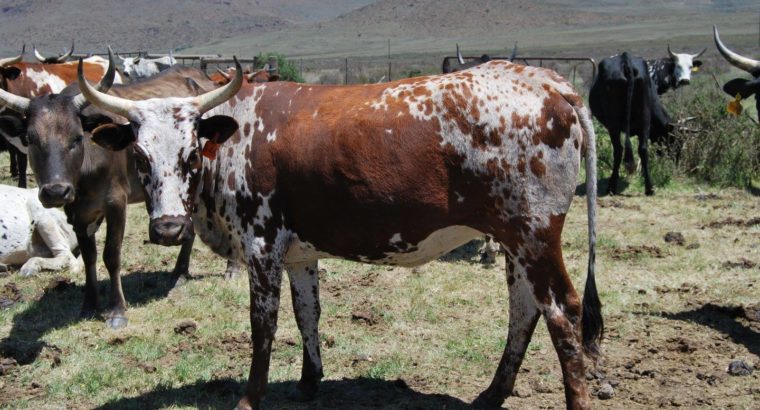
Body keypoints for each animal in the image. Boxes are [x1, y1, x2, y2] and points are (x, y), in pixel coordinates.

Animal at [0, 50, 228, 329]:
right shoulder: (78, 212)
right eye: (31, 139)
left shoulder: (116, 202)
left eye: (77, 138)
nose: (55, 192)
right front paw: (89, 304)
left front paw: (117, 310)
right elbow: (89, 256)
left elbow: (111, 254)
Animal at [80, 57, 601, 409]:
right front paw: (310, 382)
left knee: (562, 313)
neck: (236, 136)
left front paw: (251, 397)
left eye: (191, 152)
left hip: (534, 235)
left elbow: (262, 324)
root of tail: (549, 82)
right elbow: (307, 313)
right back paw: (494, 392)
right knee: (524, 309)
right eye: (140, 156)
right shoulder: (297, 253)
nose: (169, 227)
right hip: (515, 241)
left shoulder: (262, 245)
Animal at [590, 52, 674, 196]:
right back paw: (649, 188)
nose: (676, 160)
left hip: (614, 123)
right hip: (644, 119)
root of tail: (625, 60)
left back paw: (612, 186)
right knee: (642, 149)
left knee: (619, 150)